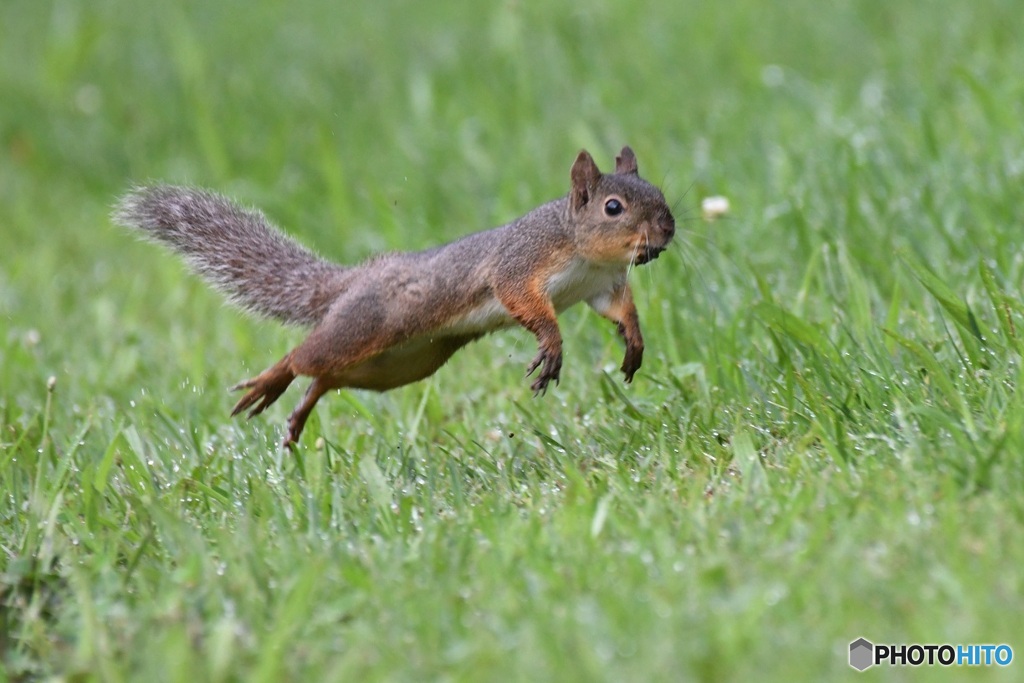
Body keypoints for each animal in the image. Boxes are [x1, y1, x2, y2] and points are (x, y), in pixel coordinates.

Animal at [116, 145, 675, 448]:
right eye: (613, 207)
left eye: (661, 196)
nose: (668, 231)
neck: (582, 251)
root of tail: (354, 282)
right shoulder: (520, 265)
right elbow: (525, 302)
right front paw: (552, 346)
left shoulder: (601, 287)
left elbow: (618, 311)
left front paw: (633, 339)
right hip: (367, 326)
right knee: (305, 357)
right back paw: (271, 383)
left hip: (402, 364)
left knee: (327, 377)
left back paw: (299, 412)